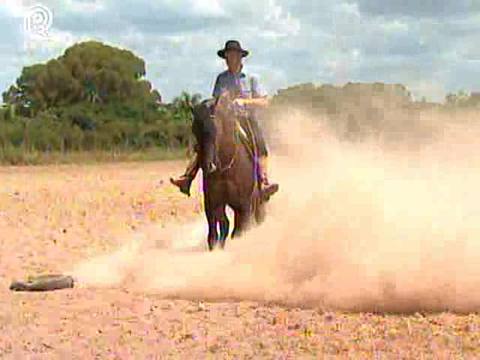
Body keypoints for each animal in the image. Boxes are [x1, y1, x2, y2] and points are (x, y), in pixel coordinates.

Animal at [191, 93, 266, 250]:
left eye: (214, 129)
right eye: (194, 130)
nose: (208, 165)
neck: (226, 169)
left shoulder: (244, 205)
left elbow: (238, 232)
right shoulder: (213, 203)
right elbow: (215, 234)